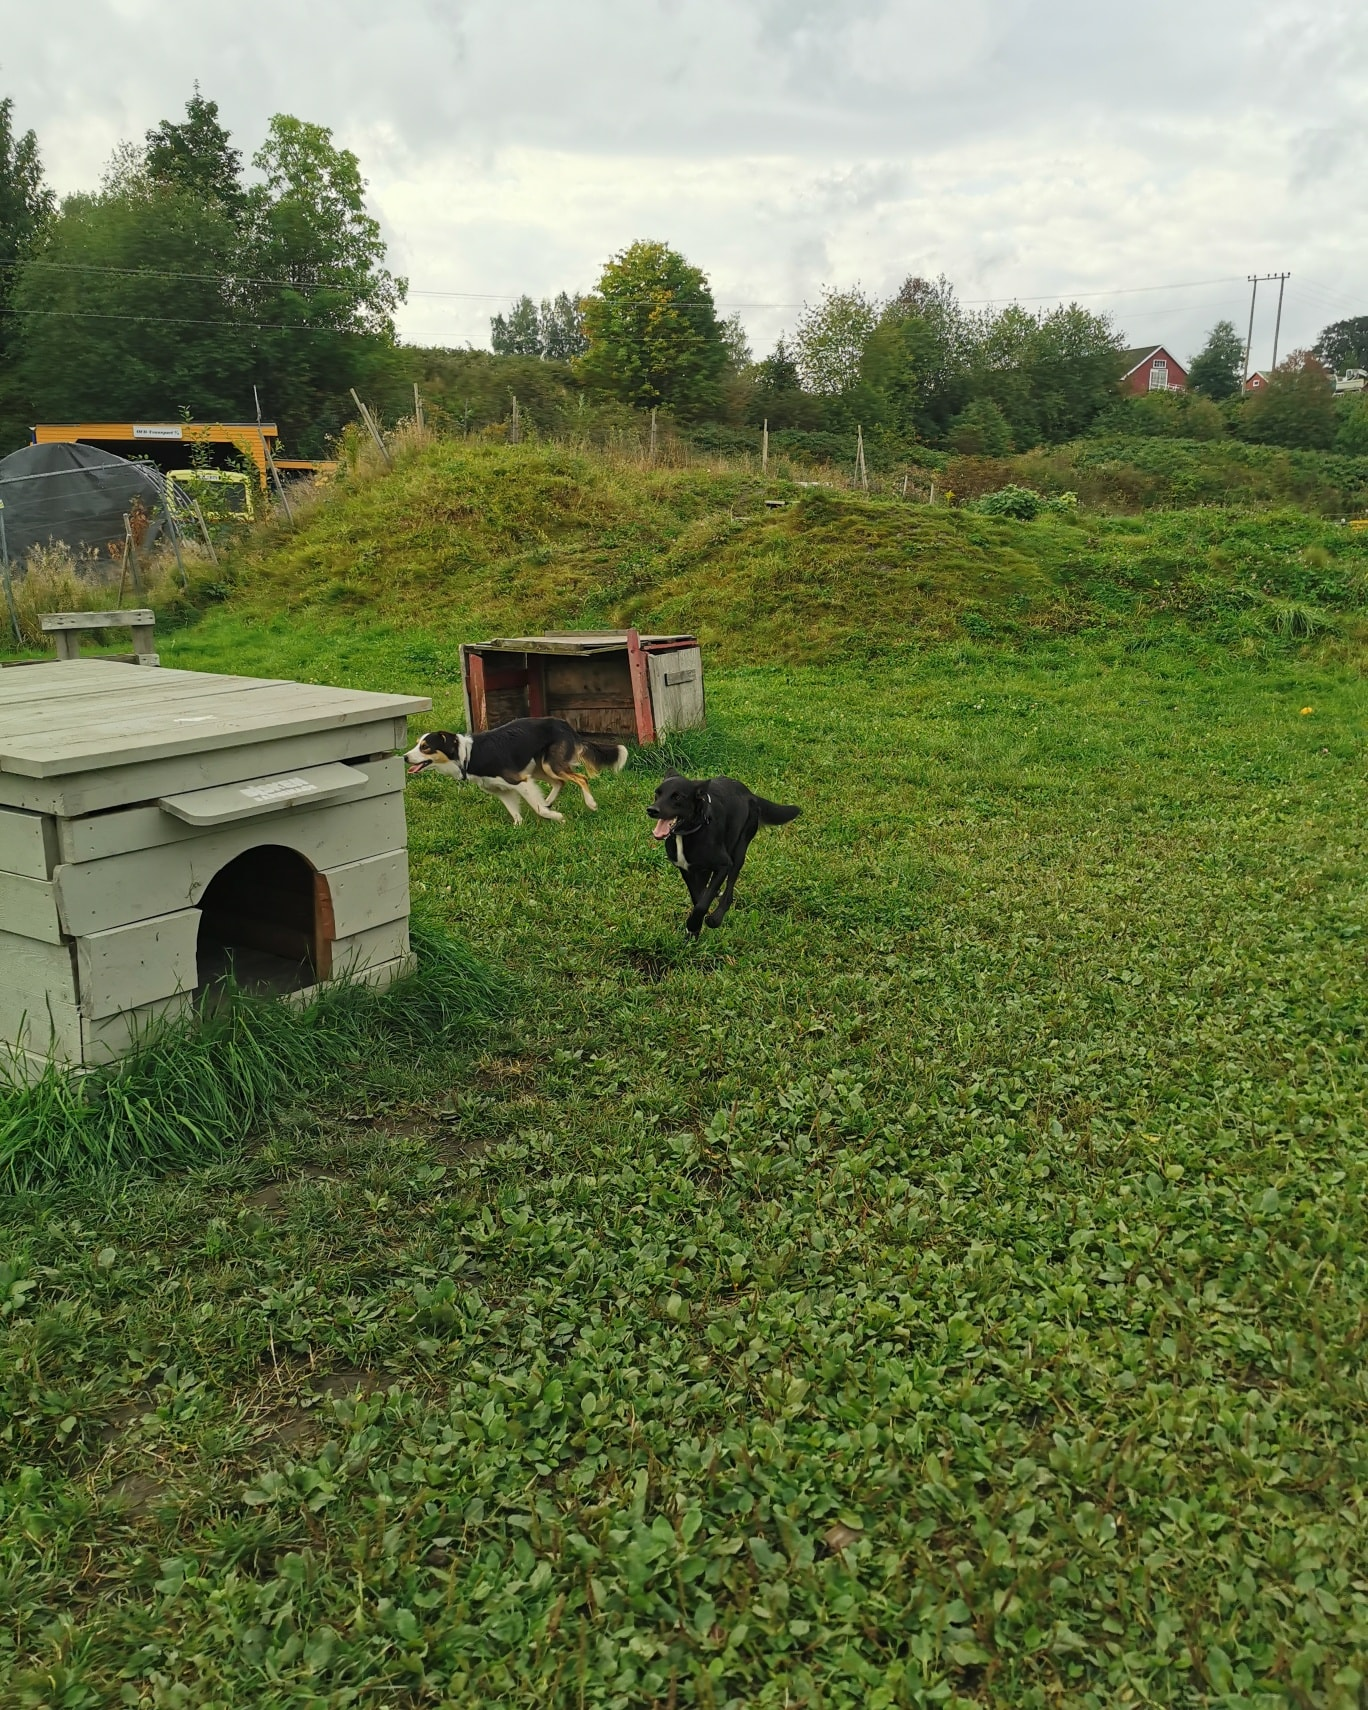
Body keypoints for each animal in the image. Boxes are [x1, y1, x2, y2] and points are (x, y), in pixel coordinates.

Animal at [405, 718, 628, 823]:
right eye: (417, 744)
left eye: (425, 747)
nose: (405, 757)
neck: (466, 756)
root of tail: (565, 724)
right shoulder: (501, 789)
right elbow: (515, 812)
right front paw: (519, 826)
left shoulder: (519, 780)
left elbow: (537, 809)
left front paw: (557, 817)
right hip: (538, 767)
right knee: (560, 782)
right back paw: (548, 802)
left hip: (551, 765)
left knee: (580, 778)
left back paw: (590, 804)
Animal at [647, 769, 800, 935]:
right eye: (657, 794)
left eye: (677, 796)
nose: (651, 810)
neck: (690, 831)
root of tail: (750, 794)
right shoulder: (687, 870)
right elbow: (698, 898)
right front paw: (695, 927)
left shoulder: (723, 866)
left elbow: (702, 903)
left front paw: (694, 924)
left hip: (739, 852)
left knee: (728, 894)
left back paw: (716, 918)